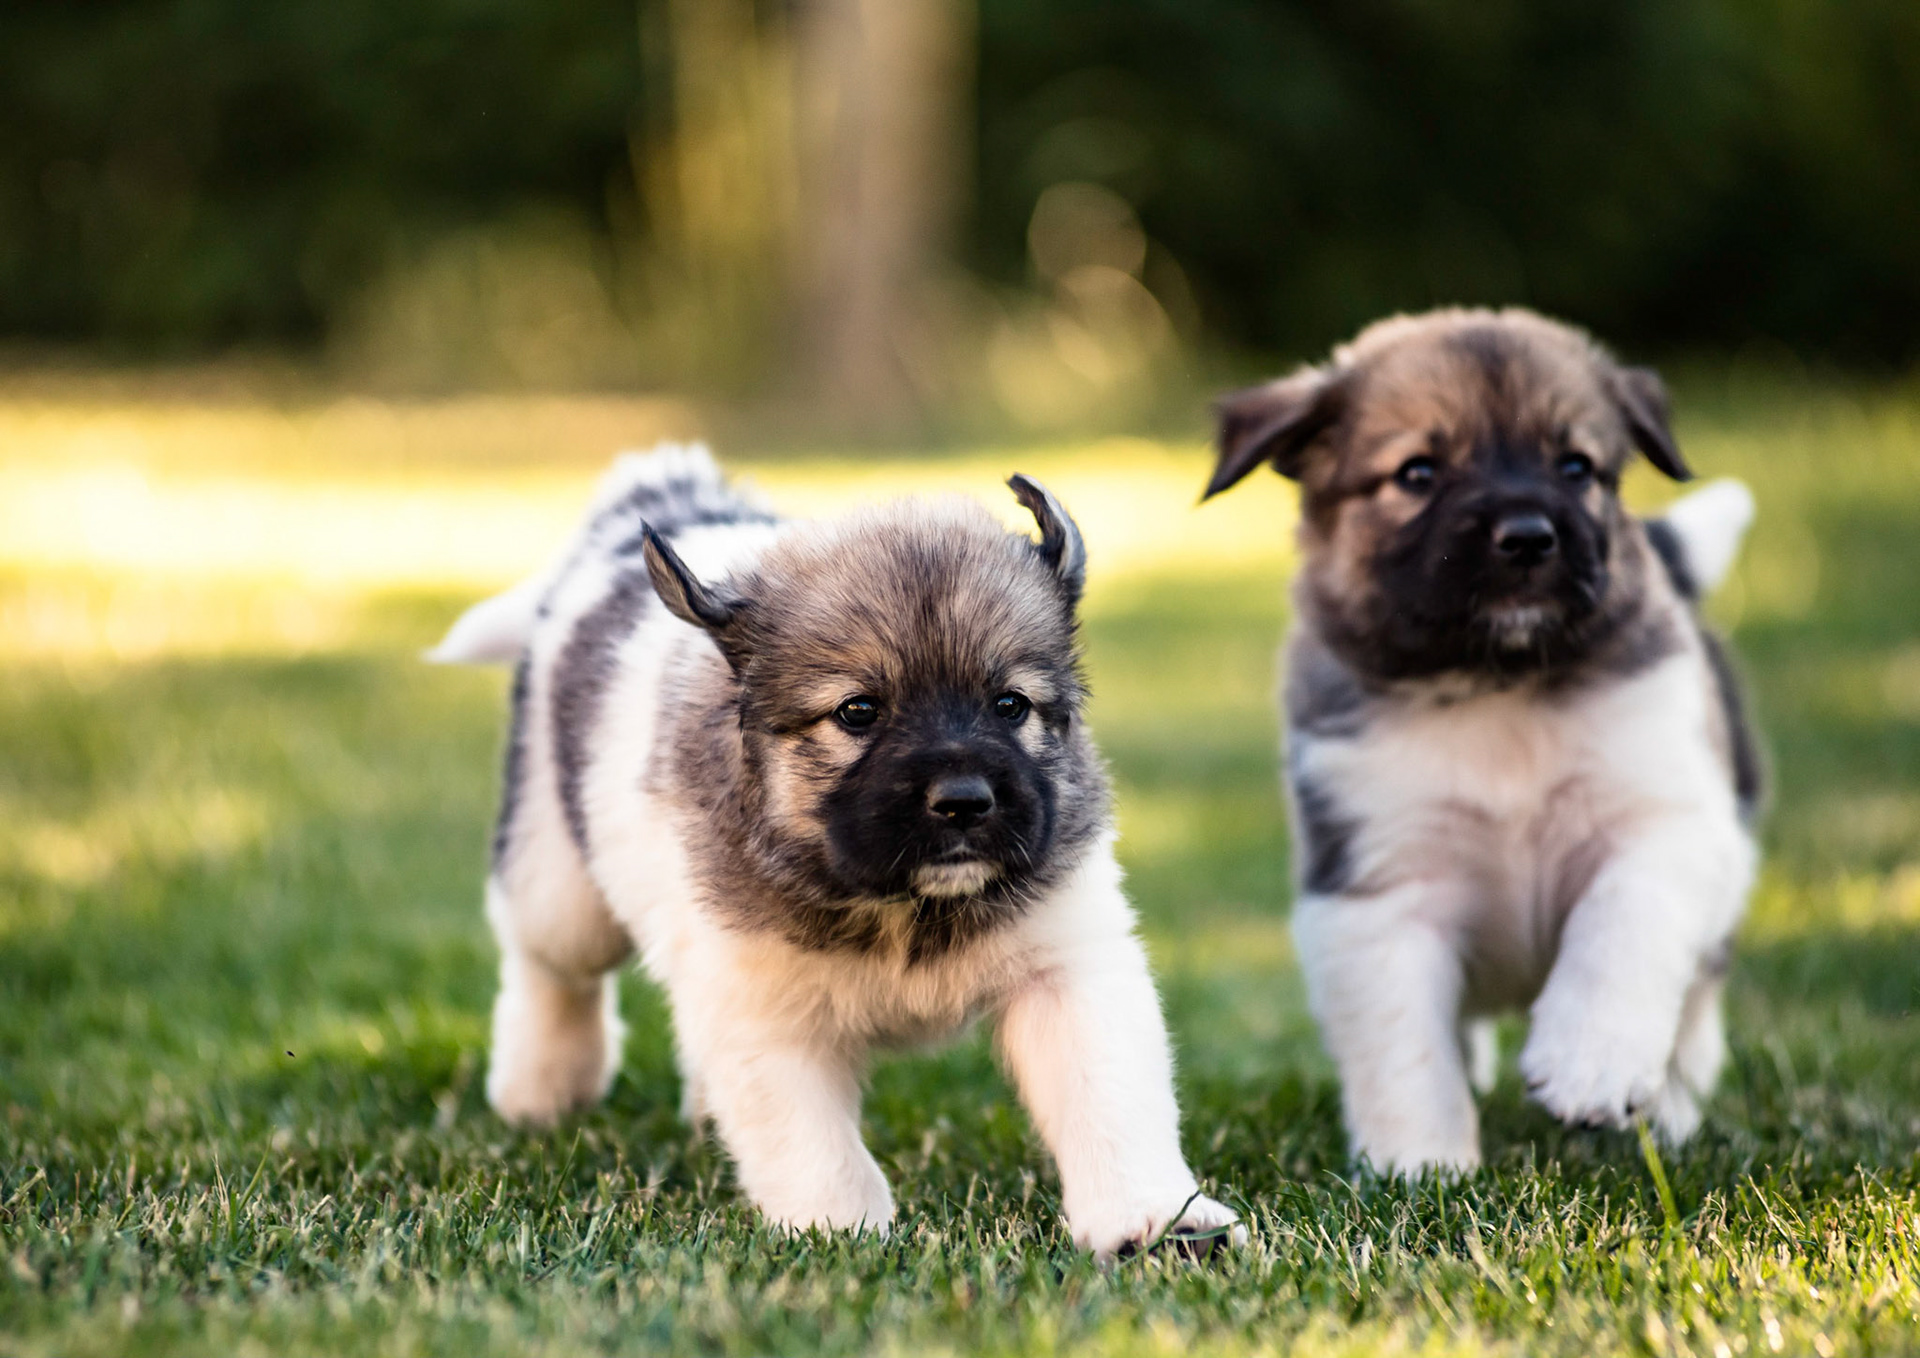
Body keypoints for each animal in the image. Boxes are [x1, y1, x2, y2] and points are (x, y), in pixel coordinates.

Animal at [431, 445, 1240, 1255]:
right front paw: (841, 1233)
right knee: (548, 968)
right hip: (561, 885)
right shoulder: (762, 1010)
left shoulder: (1068, 968)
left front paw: (1154, 1217)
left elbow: (1111, 1102)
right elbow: (812, 1145)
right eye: (858, 712)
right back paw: (543, 1086)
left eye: (1010, 705)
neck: (903, 905)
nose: (964, 801)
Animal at [1202, 308, 1761, 1173]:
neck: (1498, 690)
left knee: (1696, 1008)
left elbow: (1620, 928)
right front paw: (1421, 1166)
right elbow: (1405, 1045)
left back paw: (1668, 1110)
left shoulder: (1663, 823)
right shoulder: (1376, 889)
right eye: (1418, 472)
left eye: (1575, 466)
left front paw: (1590, 1063)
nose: (1528, 537)